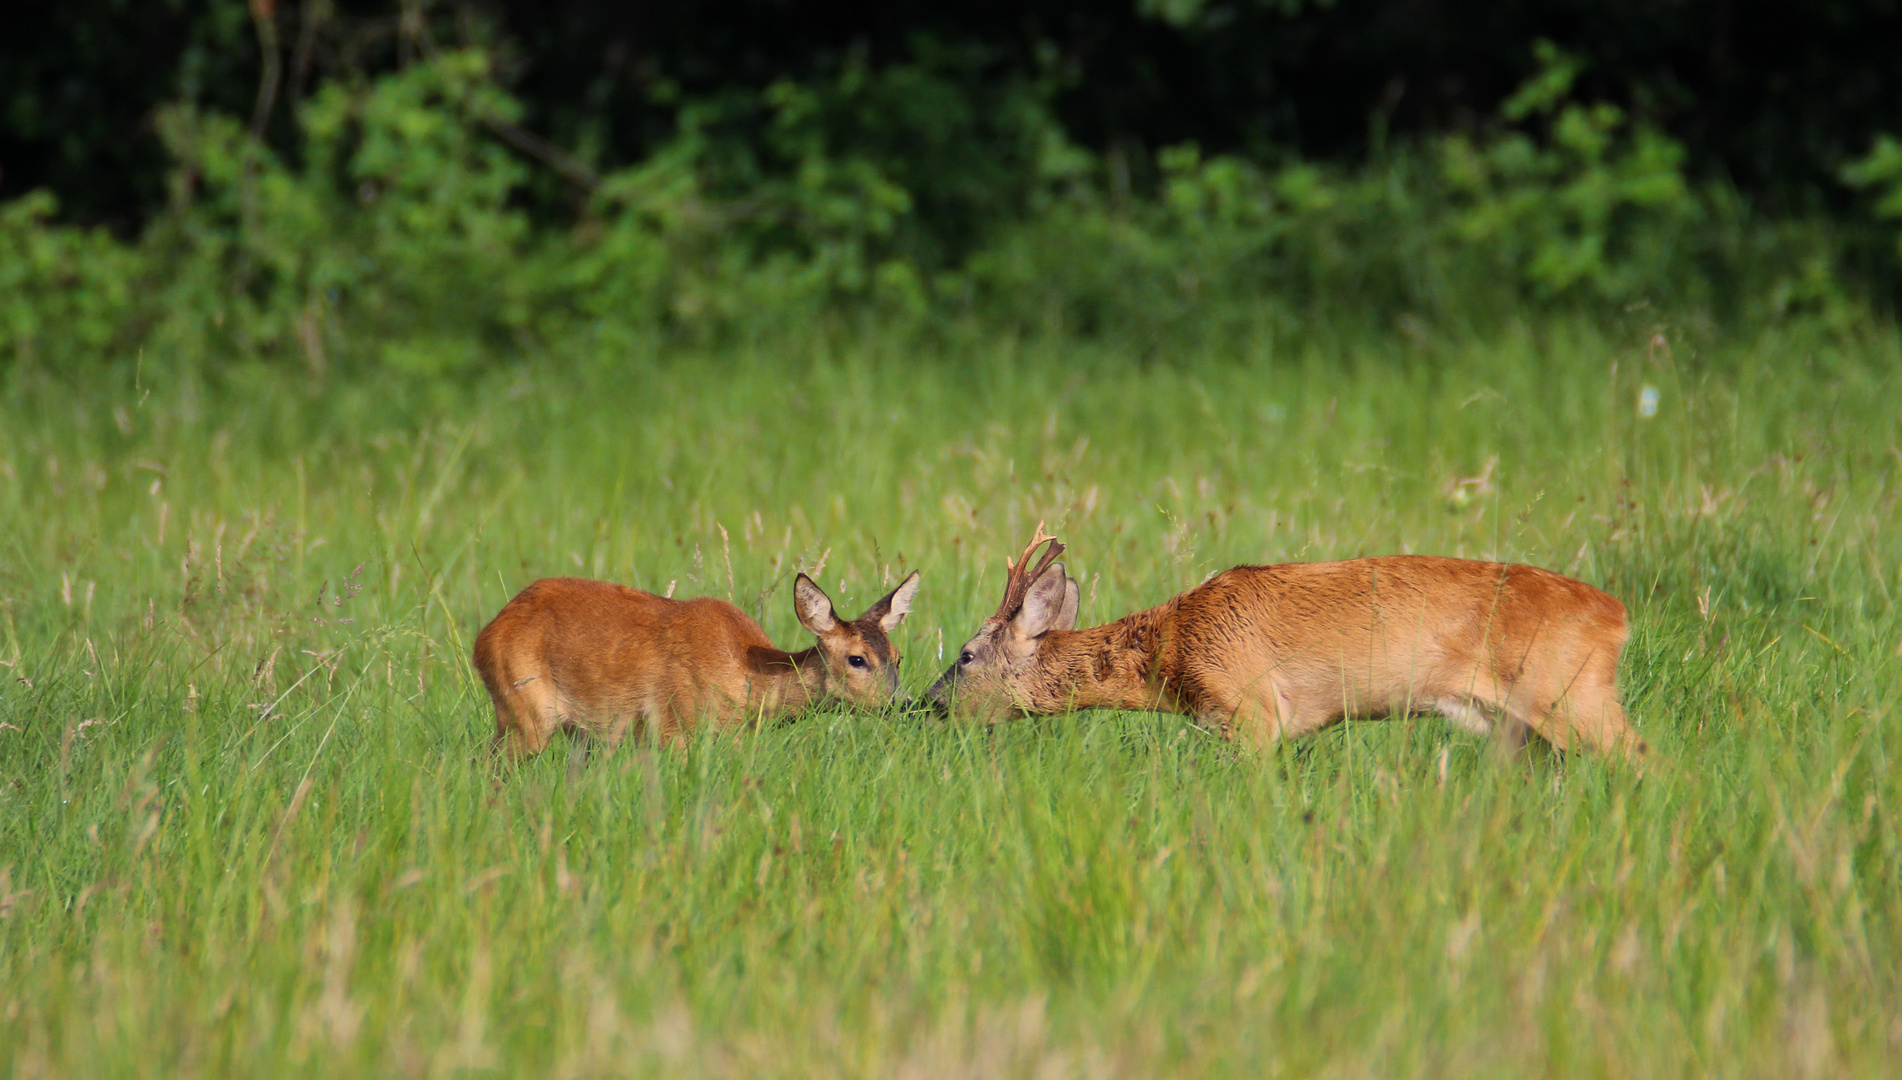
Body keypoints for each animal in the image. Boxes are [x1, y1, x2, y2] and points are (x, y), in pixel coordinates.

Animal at [475, 570, 920, 764]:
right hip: (524, 708)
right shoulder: (673, 729)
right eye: (857, 659)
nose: (897, 704)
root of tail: (485, 635)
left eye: (898, 657)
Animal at [928, 524, 1643, 760]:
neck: (1174, 646)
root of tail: (1618, 616)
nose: (926, 704)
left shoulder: (1252, 709)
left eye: (965, 655)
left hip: (1571, 692)